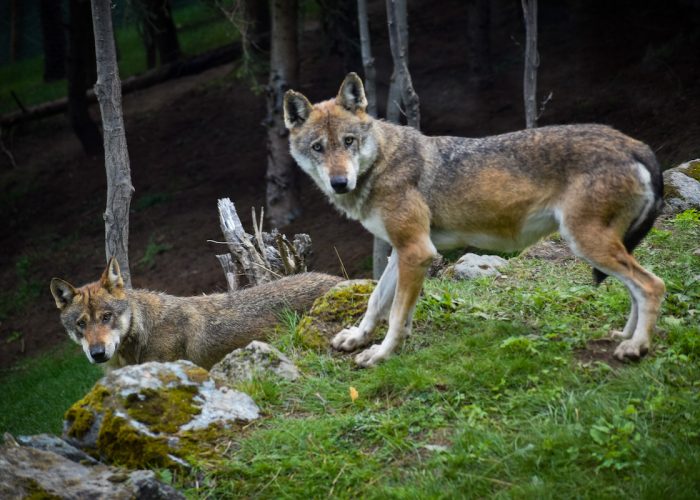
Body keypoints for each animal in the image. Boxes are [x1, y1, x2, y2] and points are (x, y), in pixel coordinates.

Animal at [282, 71, 664, 368]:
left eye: (349, 141)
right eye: (318, 147)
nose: (339, 182)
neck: (381, 163)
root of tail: (634, 144)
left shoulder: (417, 252)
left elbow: (395, 316)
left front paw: (380, 354)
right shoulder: (401, 251)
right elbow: (376, 302)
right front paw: (357, 338)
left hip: (585, 243)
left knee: (652, 285)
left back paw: (636, 347)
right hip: (600, 247)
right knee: (636, 289)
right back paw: (623, 335)